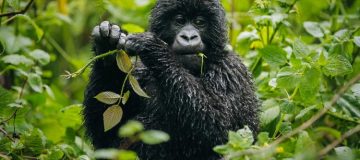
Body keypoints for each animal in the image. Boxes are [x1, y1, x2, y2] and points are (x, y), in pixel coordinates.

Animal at [83, 0, 258, 159]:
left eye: (199, 22)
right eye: (179, 20)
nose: (189, 37)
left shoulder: (231, 71)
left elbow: (220, 128)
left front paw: (153, 47)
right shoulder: (139, 73)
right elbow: (105, 137)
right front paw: (107, 45)